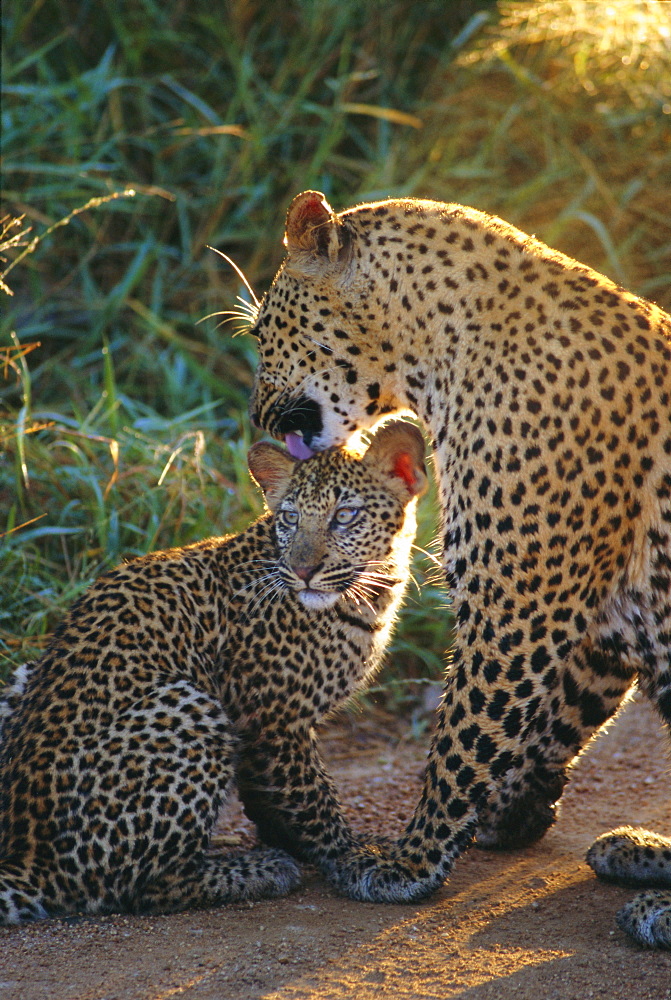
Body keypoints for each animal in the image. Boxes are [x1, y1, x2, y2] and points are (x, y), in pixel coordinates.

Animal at [251, 191, 671, 948]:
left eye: (265, 333)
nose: (256, 416)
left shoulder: (515, 604)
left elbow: (462, 734)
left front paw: (410, 862)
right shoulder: (589, 610)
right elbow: (555, 715)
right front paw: (513, 812)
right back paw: (639, 853)